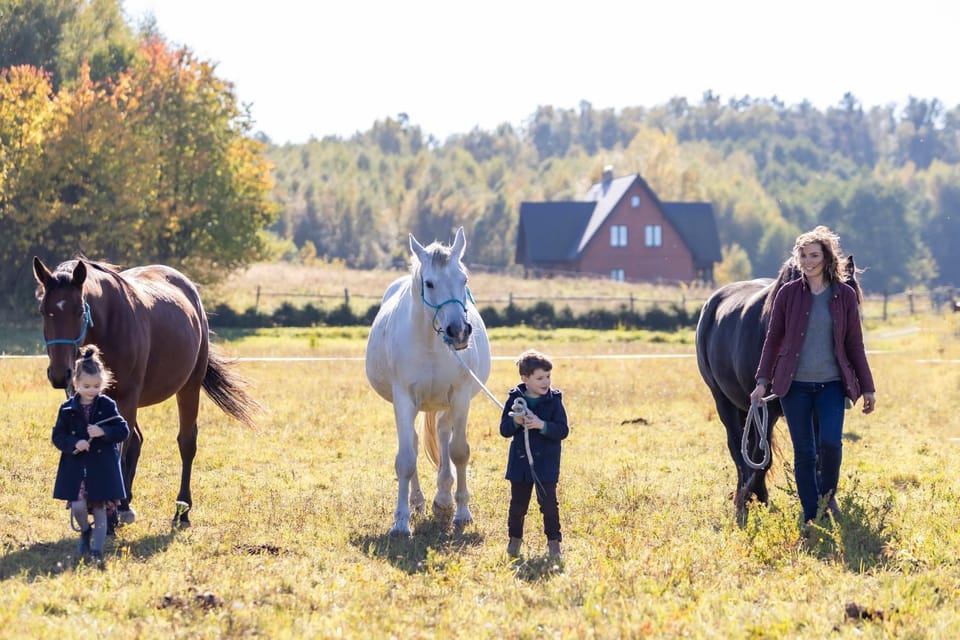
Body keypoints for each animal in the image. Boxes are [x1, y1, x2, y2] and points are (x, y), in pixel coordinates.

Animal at [33, 256, 261, 527]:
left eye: (79, 310)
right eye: (43, 311)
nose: (59, 374)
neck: (109, 324)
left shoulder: (127, 398)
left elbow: (119, 447)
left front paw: (110, 514)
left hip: (189, 388)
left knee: (186, 443)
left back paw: (181, 510)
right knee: (136, 442)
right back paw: (126, 503)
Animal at [365, 227, 491, 537]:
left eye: (464, 279)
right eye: (430, 283)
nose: (459, 332)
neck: (432, 344)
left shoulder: (460, 395)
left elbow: (459, 451)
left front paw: (462, 513)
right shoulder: (403, 399)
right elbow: (406, 459)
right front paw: (400, 522)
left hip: (446, 403)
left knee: (444, 434)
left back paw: (443, 500)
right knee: (412, 440)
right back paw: (418, 502)